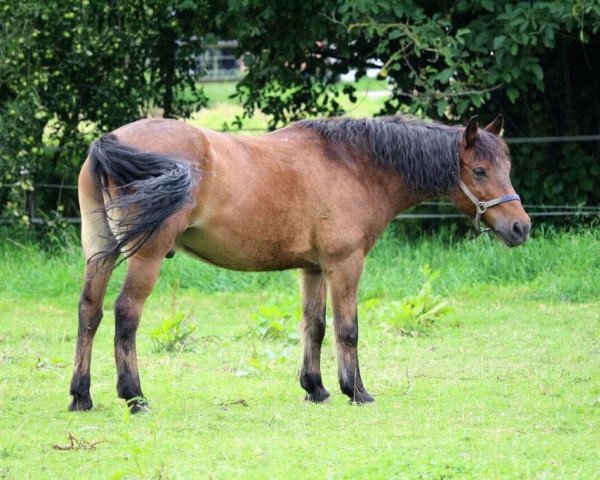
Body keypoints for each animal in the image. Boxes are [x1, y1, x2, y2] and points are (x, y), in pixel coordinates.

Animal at [69, 113, 528, 412]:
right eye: (479, 170)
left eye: (507, 166)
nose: (521, 227)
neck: (353, 163)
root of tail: (110, 141)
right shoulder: (345, 264)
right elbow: (347, 329)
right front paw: (356, 391)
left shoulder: (313, 268)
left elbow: (315, 326)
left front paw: (316, 388)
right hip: (145, 256)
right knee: (125, 314)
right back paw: (134, 396)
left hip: (99, 252)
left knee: (89, 313)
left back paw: (82, 395)